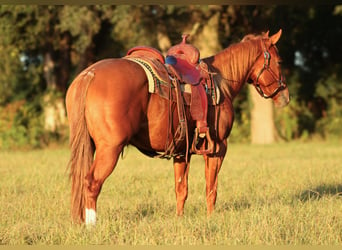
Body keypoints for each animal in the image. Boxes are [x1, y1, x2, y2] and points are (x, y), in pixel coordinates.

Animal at [66, 29, 288, 225]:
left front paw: (179, 219)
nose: (285, 96)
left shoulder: (182, 152)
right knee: (91, 183)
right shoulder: (218, 149)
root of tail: (90, 74)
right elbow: (211, 188)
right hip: (109, 149)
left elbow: (181, 189)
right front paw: (211, 218)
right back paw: (91, 225)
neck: (220, 81)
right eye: (279, 62)